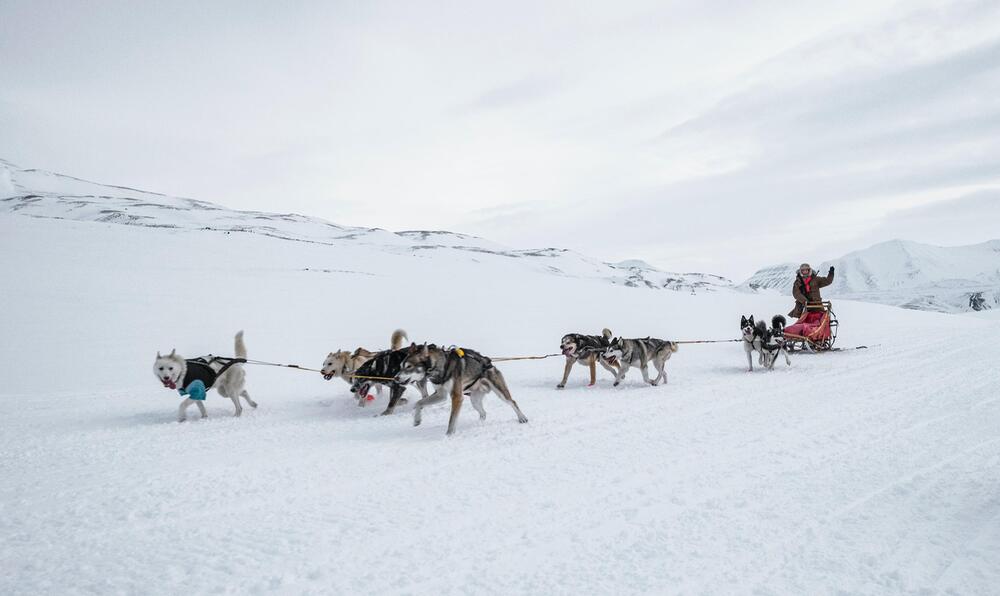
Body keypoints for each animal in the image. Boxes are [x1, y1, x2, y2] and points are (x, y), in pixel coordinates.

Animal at [394, 342, 528, 436]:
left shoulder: (457, 397)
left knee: (512, 402)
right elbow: (419, 403)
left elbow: (452, 420)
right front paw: (417, 419)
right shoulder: (440, 394)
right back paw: (479, 423)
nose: (395, 378)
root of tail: (489, 362)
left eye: (409, 366)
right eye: (400, 366)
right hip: (474, 401)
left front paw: (449, 435)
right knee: (483, 413)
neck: (441, 365)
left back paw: (522, 418)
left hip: (500, 392)